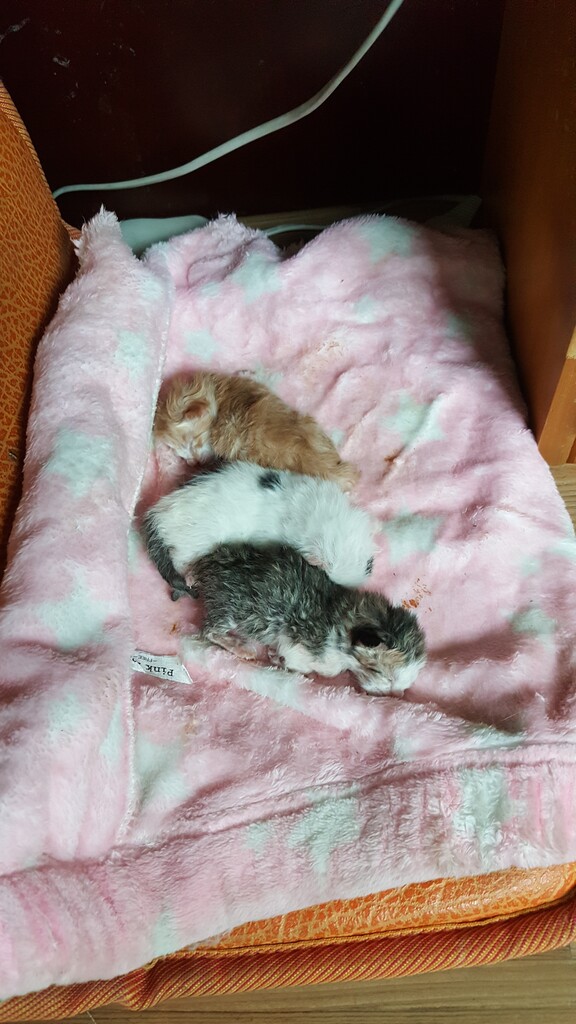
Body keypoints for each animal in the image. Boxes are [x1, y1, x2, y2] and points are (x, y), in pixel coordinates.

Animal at [191, 542, 426, 695]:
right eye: (386, 677)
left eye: (402, 686)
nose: (397, 695)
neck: (342, 618)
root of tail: (208, 568)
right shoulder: (305, 633)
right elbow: (320, 665)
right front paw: (282, 659)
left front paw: (276, 656)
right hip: (234, 607)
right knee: (210, 630)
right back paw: (241, 647)